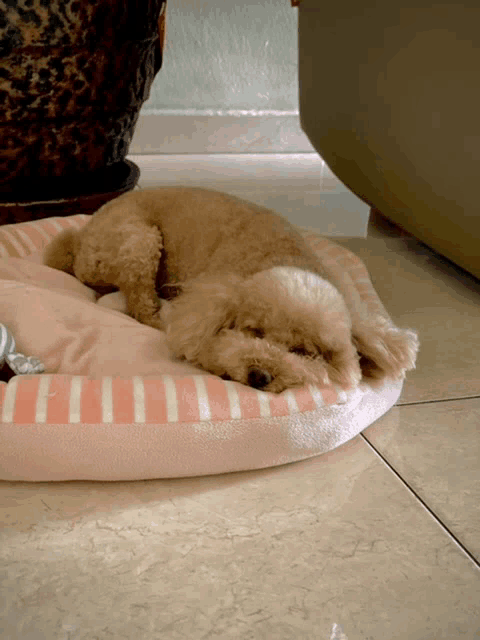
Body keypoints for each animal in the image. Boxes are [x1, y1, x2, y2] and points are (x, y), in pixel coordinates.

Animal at [45, 185, 420, 392]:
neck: (284, 257)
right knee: (139, 299)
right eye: (253, 331)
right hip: (140, 240)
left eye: (304, 352)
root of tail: (82, 236)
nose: (259, 375)